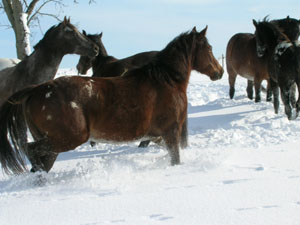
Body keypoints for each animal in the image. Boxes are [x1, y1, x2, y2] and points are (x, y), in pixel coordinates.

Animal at [0, 25, 223, 174]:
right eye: (210, 48)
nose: (219, 72)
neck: (167, 80)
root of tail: (37, 89)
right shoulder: (170, 132)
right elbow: (175, 159)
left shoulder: (157, 136)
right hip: (68, 138)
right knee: (30, 150)